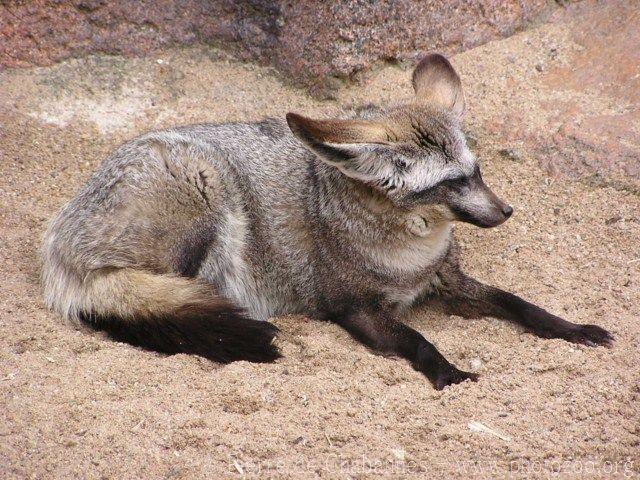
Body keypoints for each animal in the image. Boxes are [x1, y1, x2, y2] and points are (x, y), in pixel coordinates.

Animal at [42, 53, 612, 390]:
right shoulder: (354, 308)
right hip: (208, 203)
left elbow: (519, 303)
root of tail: (62, 238)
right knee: (139, 307)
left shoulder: (447, 279)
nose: (507, 212)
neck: (411, 258)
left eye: (477, 172)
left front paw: (573, 328)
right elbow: (416, 339)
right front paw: (447, 371)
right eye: (451, 183)